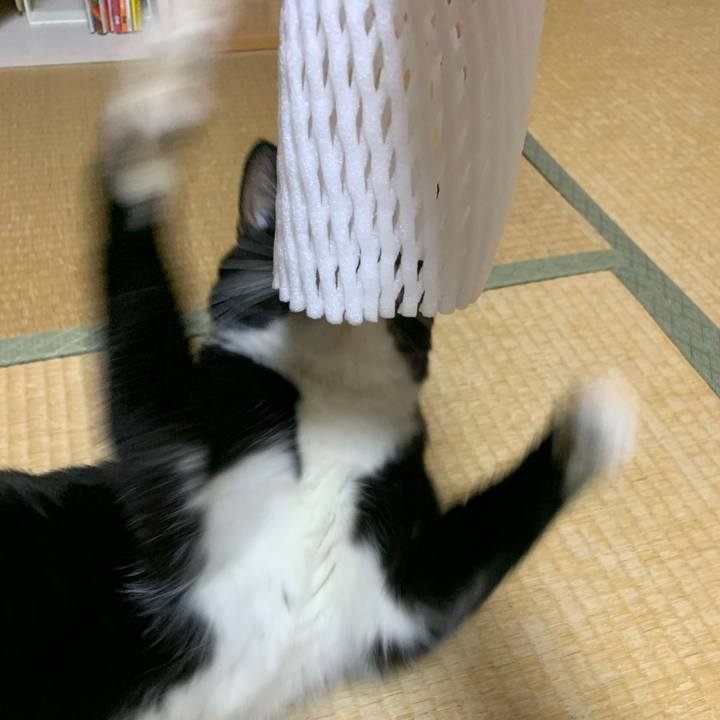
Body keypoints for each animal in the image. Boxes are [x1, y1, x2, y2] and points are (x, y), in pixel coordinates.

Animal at [0, 122, 635, 719]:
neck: (331, 412)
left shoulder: (403, 602)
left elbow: (498, 522)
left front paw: (597, 420)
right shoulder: (172, 449)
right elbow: (145, 340)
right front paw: (142, 143)